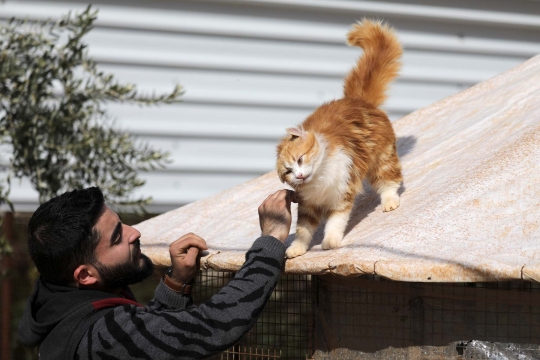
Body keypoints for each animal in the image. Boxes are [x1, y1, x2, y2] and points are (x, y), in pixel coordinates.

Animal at [276, 19, 402, 258]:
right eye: (288, 171)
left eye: (300, 160)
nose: (299, 175)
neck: (319, 181)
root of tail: (356, 100)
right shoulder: (308, 206)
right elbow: (303, 231)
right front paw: (296, 248)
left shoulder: (342, 193)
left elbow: (335, 223)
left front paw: (330, 241)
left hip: (382, 158)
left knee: (389, 181)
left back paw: (390, 201)